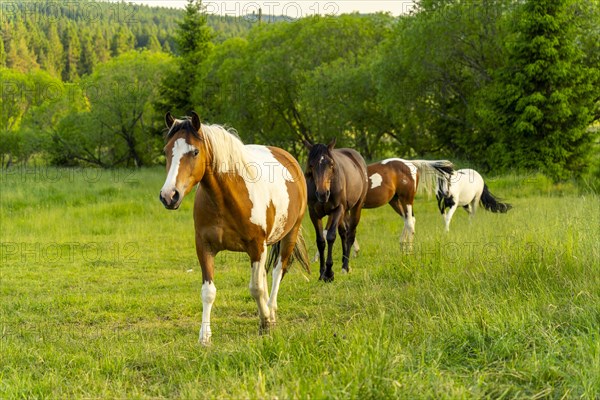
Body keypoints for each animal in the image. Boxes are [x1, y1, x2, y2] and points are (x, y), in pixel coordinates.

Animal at [159, 111, 310, 344]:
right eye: (166, 151)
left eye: (195, 151)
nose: (169, 196)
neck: (225, 199)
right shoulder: (204, 247)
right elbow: (208, 292)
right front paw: (205, 337)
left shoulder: (256, 246)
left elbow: (256, 288)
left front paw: (265, 323)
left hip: (289, 235)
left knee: (278, 272)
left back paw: (271, 311)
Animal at [308, 139, 368, 282]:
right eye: (311, 165)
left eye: (331, 164)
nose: (322, 194)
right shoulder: (313, 213)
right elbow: (321, 241)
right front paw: (321, 273)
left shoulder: (337, 210)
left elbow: (330, 237)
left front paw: (329, 273)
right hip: (344, 212)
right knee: (344, 233)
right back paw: (343, 262)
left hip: (355, 208)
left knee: (350, 234)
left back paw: (345, 266)